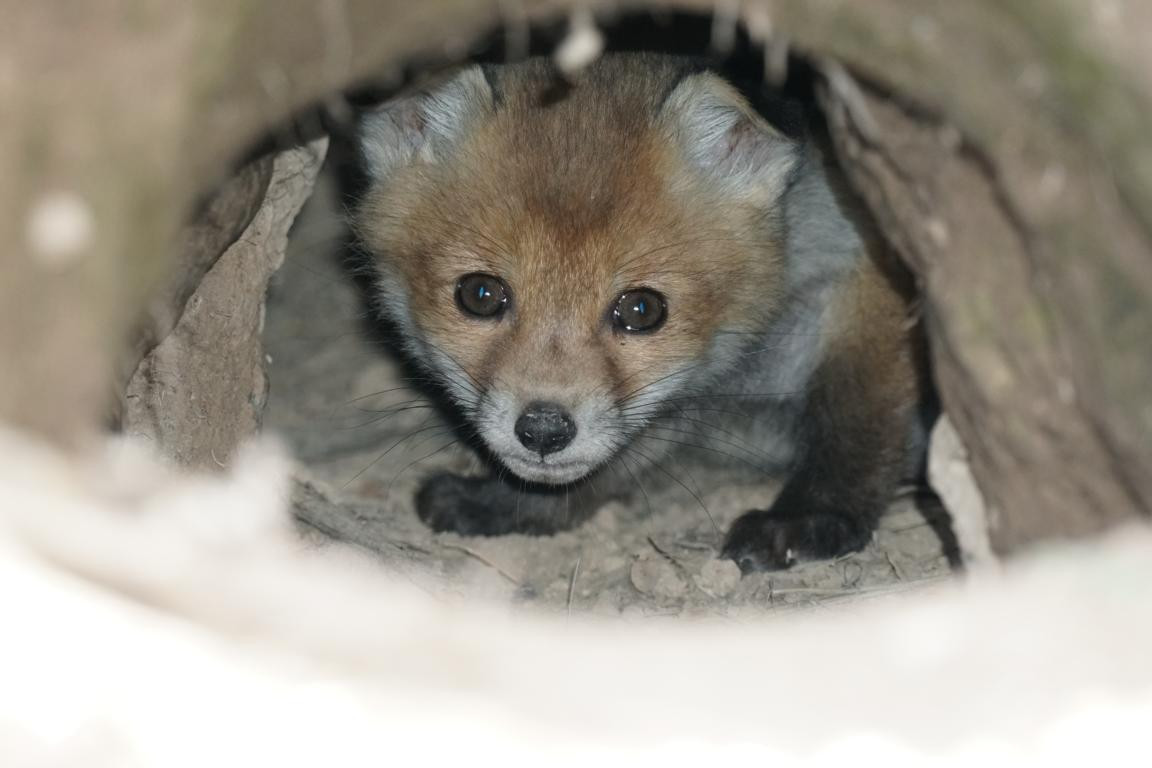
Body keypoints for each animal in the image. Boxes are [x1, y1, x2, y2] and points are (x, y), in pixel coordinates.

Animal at [352, 53, 924, 572]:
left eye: (642, 309)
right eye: (481, 295)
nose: (543, 430)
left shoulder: (870, 297)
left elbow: (857, 424)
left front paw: (809, 520)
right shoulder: (672, 407)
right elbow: (610, 466)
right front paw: (512, 507)